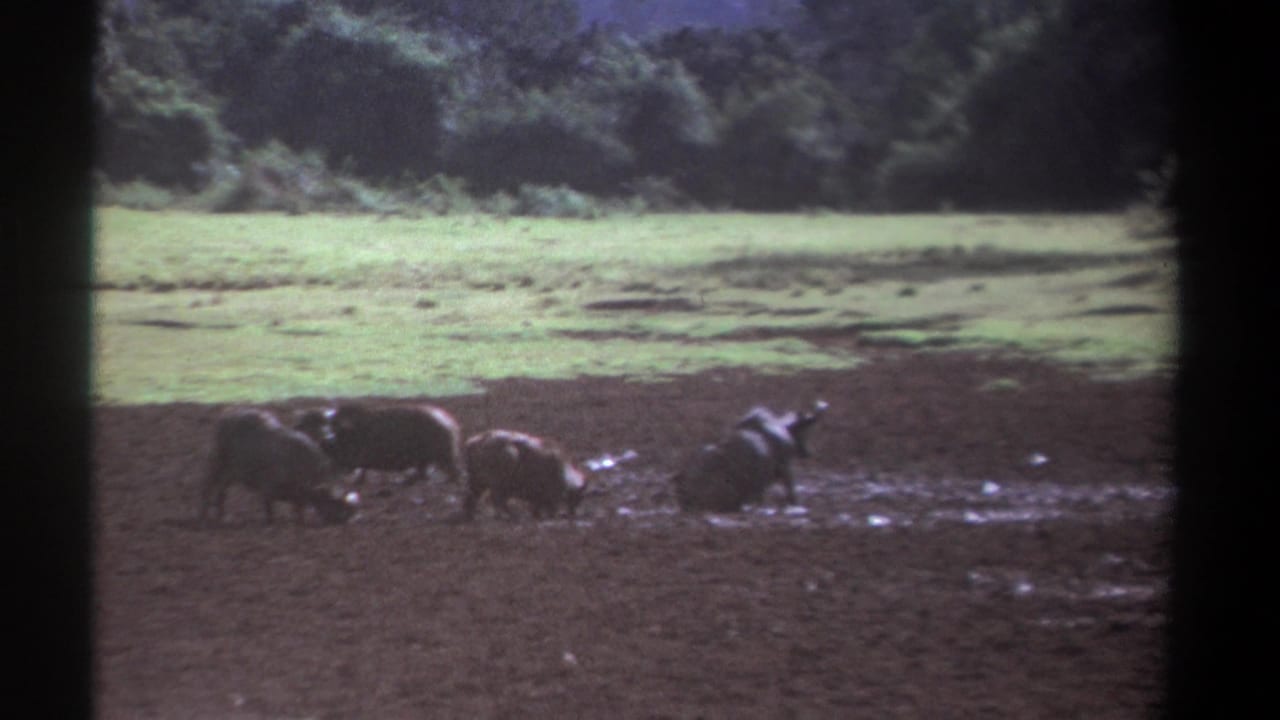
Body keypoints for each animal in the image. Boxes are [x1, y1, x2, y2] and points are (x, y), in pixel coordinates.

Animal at [200, 408, 359, 525]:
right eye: (336, 503)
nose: (349, 519)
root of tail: (225, 417)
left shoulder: (299, 494)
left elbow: (298, 509)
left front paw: (299, 520)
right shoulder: (268, 486)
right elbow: (269, 507)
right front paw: (271, 522)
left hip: (231, 473)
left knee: (221, 492)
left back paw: (221, 517)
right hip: (217, 464)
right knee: (207, 487)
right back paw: (204, 516)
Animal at [295, 402, 463, 485]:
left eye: (330, 424)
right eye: (314, 424)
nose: (327, 437)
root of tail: (449, 422)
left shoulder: (350, 461)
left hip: (444, 456)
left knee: (454, 474)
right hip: (427, 459)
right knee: (423, 473)